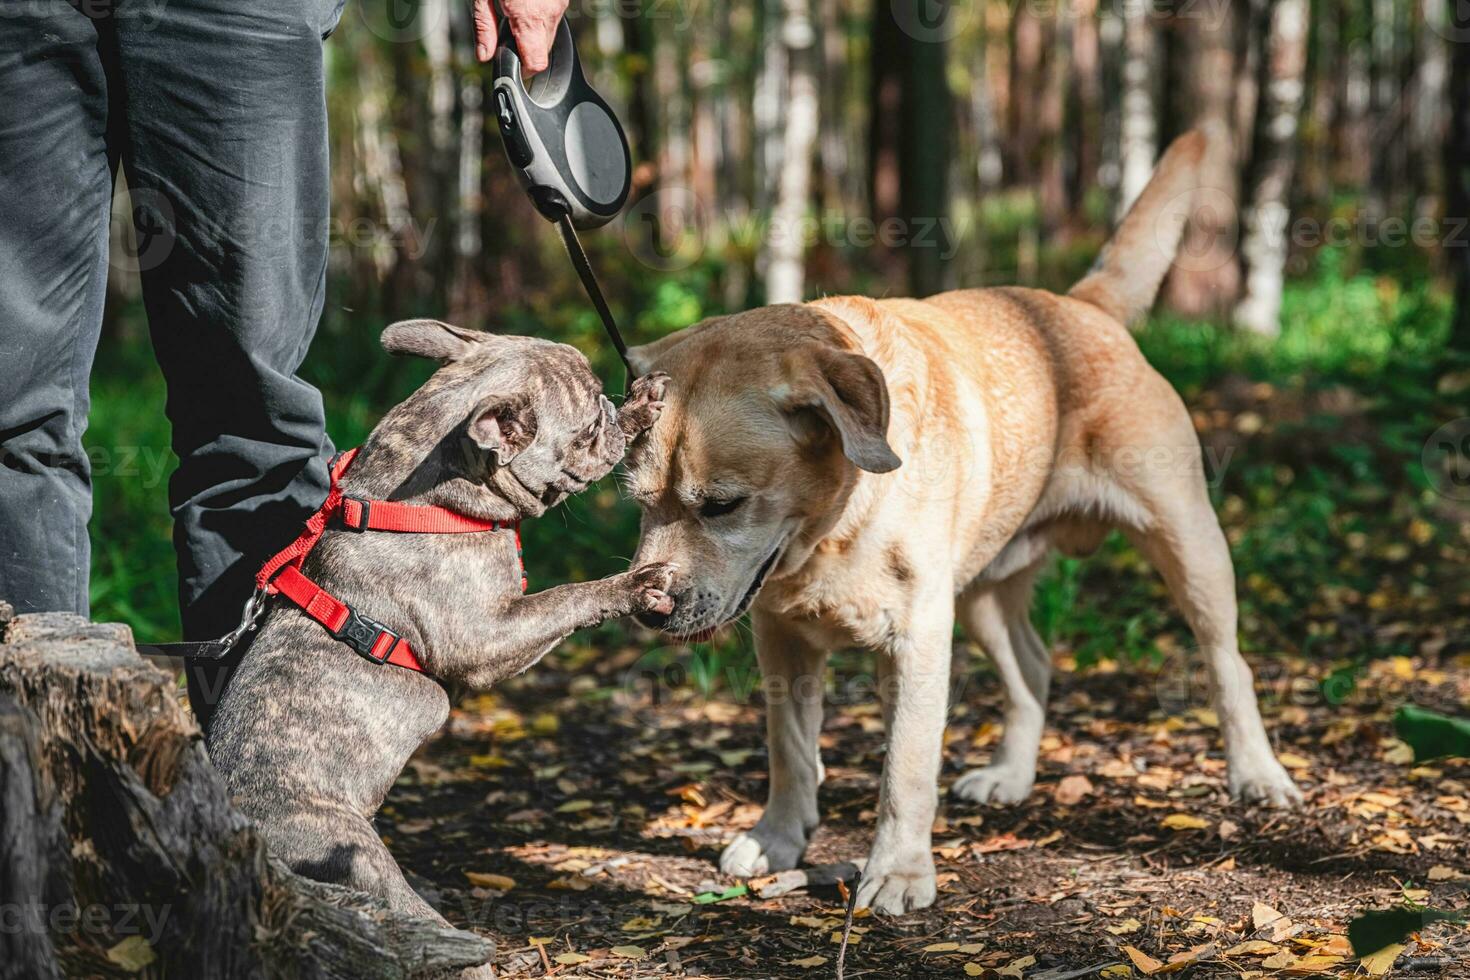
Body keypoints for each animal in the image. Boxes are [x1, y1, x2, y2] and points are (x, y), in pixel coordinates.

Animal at [620, 128, 1299, 910]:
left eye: (723, 504)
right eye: (639, 501)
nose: (648, 609)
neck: (833, 531)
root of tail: (1083, 306)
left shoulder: (918, 637)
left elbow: (906, 769)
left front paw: (898, 871)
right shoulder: (780, 639)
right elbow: (788, 750)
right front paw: (778, 839)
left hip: (1189, 547)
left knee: (1227, 664)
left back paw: (1258, 775)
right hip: (982, 593)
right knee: (1033, 667)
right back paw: (1010, 775)